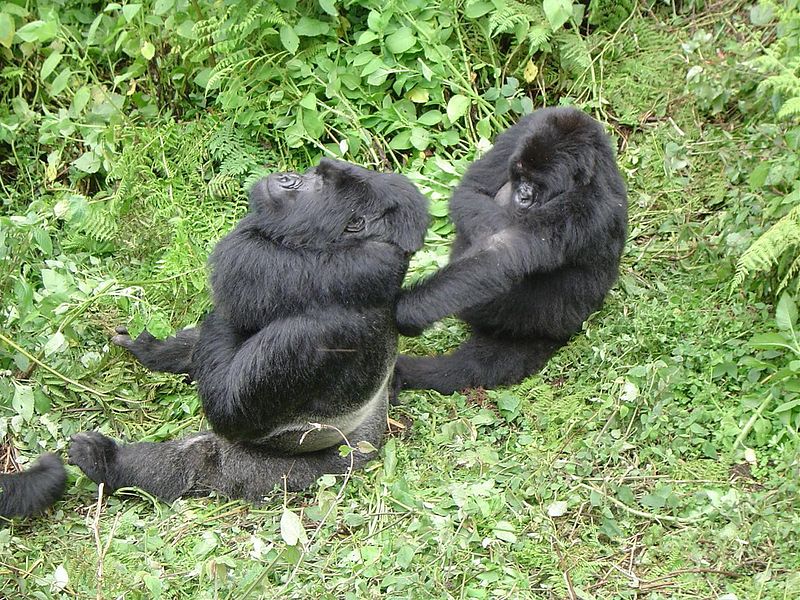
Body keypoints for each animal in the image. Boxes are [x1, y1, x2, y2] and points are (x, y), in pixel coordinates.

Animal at [67, 158, 432, 502]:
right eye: (315, 173)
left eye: (320, 184)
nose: (287, 177)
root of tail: (370, 445)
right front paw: (158, 348)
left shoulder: (308, 333)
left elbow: (227, 407)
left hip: (296, 474)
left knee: (200, 458)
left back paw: (107, 462)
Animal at [392, 105, 624, 396]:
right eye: (522, 176)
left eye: (538, 185)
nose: (523, 196)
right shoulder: (526, 128)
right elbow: (473, 190)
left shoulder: (586, 206)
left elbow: (504, 253)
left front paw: (408, 308)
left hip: (534, 323)